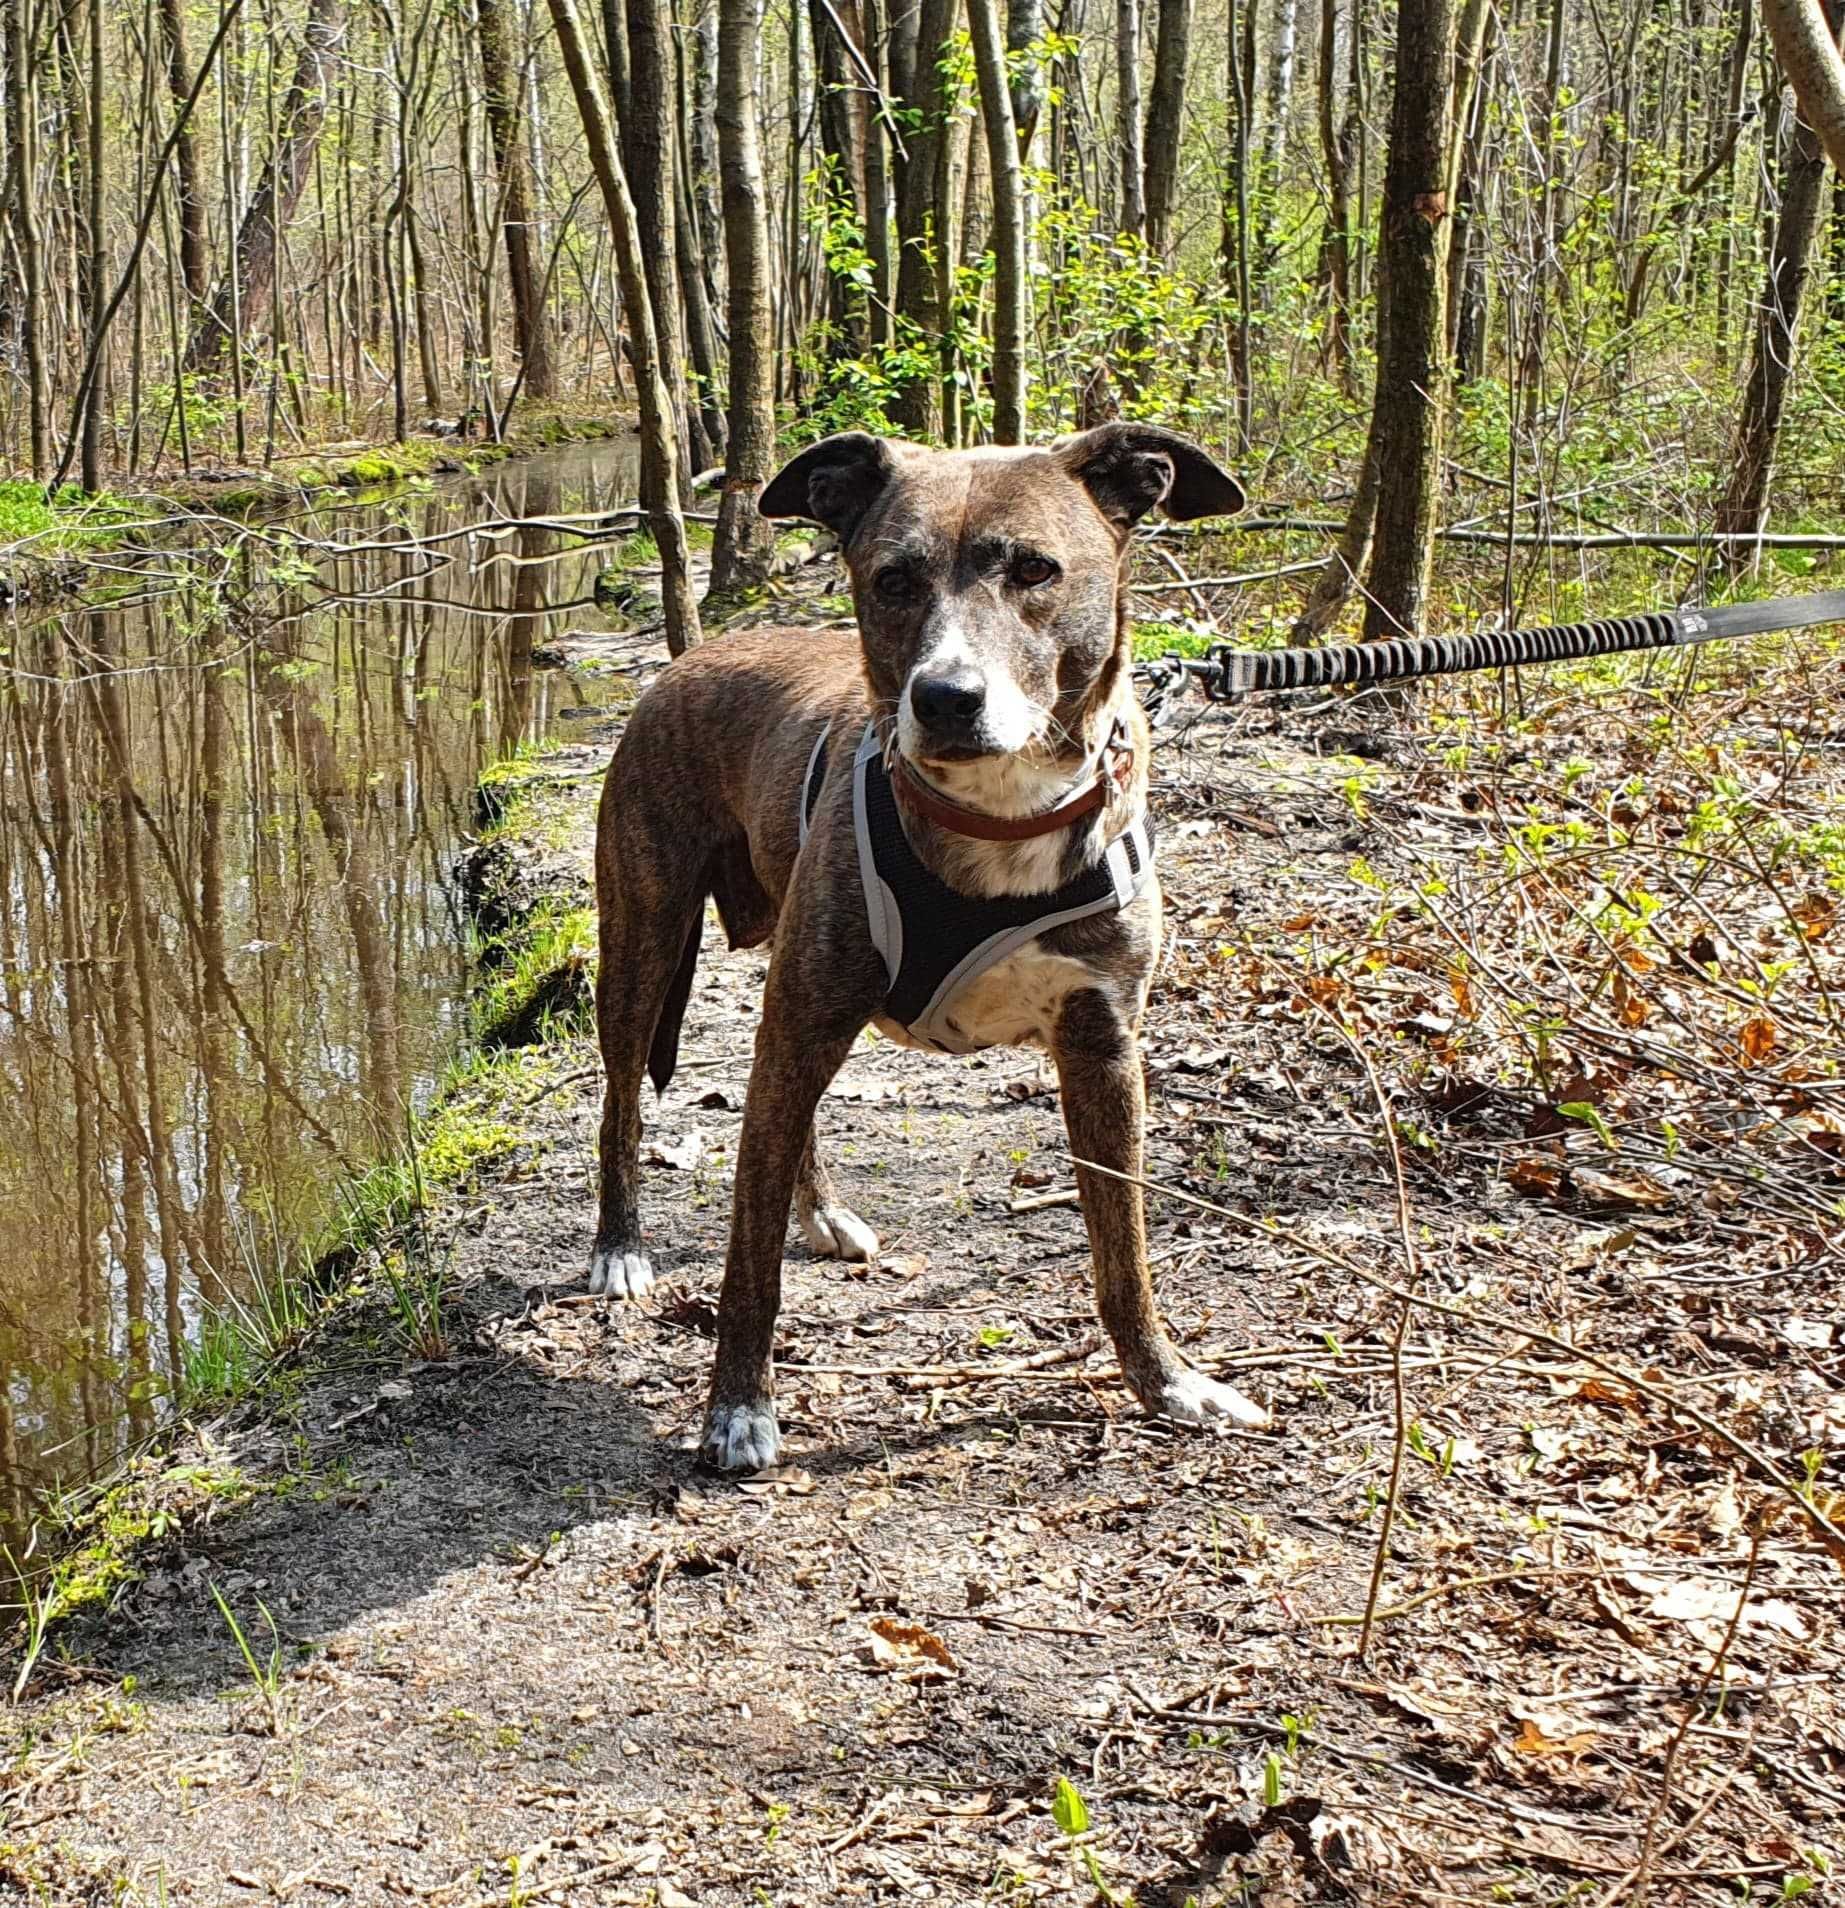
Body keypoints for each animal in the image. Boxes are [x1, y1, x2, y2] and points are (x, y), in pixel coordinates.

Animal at [591, 425, 1266, 1465]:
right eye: (893, 579)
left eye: (1033, 570)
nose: (946, 698)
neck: (997, 815)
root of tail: (697, 653)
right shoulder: (801, 1011)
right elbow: (748, 1254)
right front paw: (737, 1408)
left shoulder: (1104, 1047)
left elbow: (1122, 1248)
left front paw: (1167, 1381)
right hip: (645, 939)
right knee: (623, 1101)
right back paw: (620, 1247)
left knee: (782, 1112)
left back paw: (820, 1207)